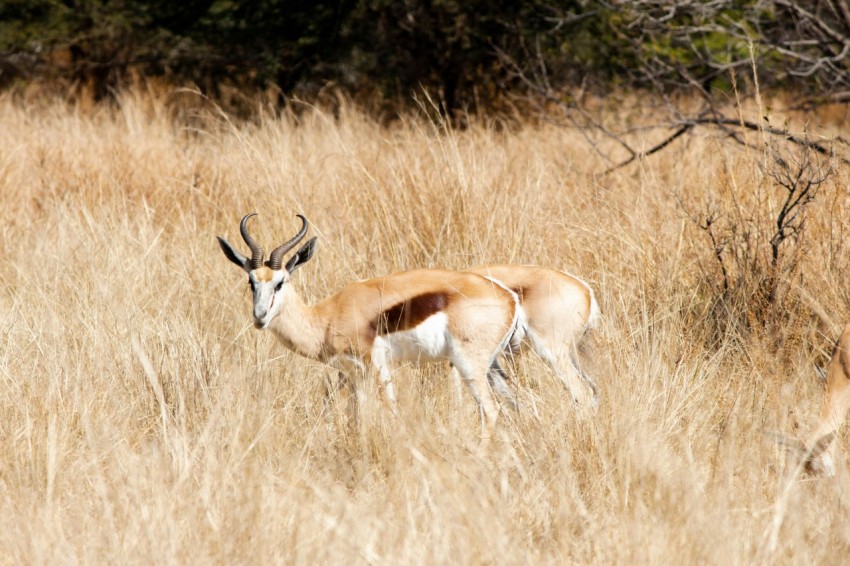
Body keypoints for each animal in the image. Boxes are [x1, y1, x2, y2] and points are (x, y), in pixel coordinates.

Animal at [217, 213, 524, 440]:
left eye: (280, 282)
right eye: (251, 282)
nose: (260, 316)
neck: (327, 316)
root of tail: (509, 297)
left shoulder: (375, 365)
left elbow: (390, 411)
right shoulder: (352, 375)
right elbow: (355, 419)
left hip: (468, 364)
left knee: (490, 411)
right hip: (491, 366)